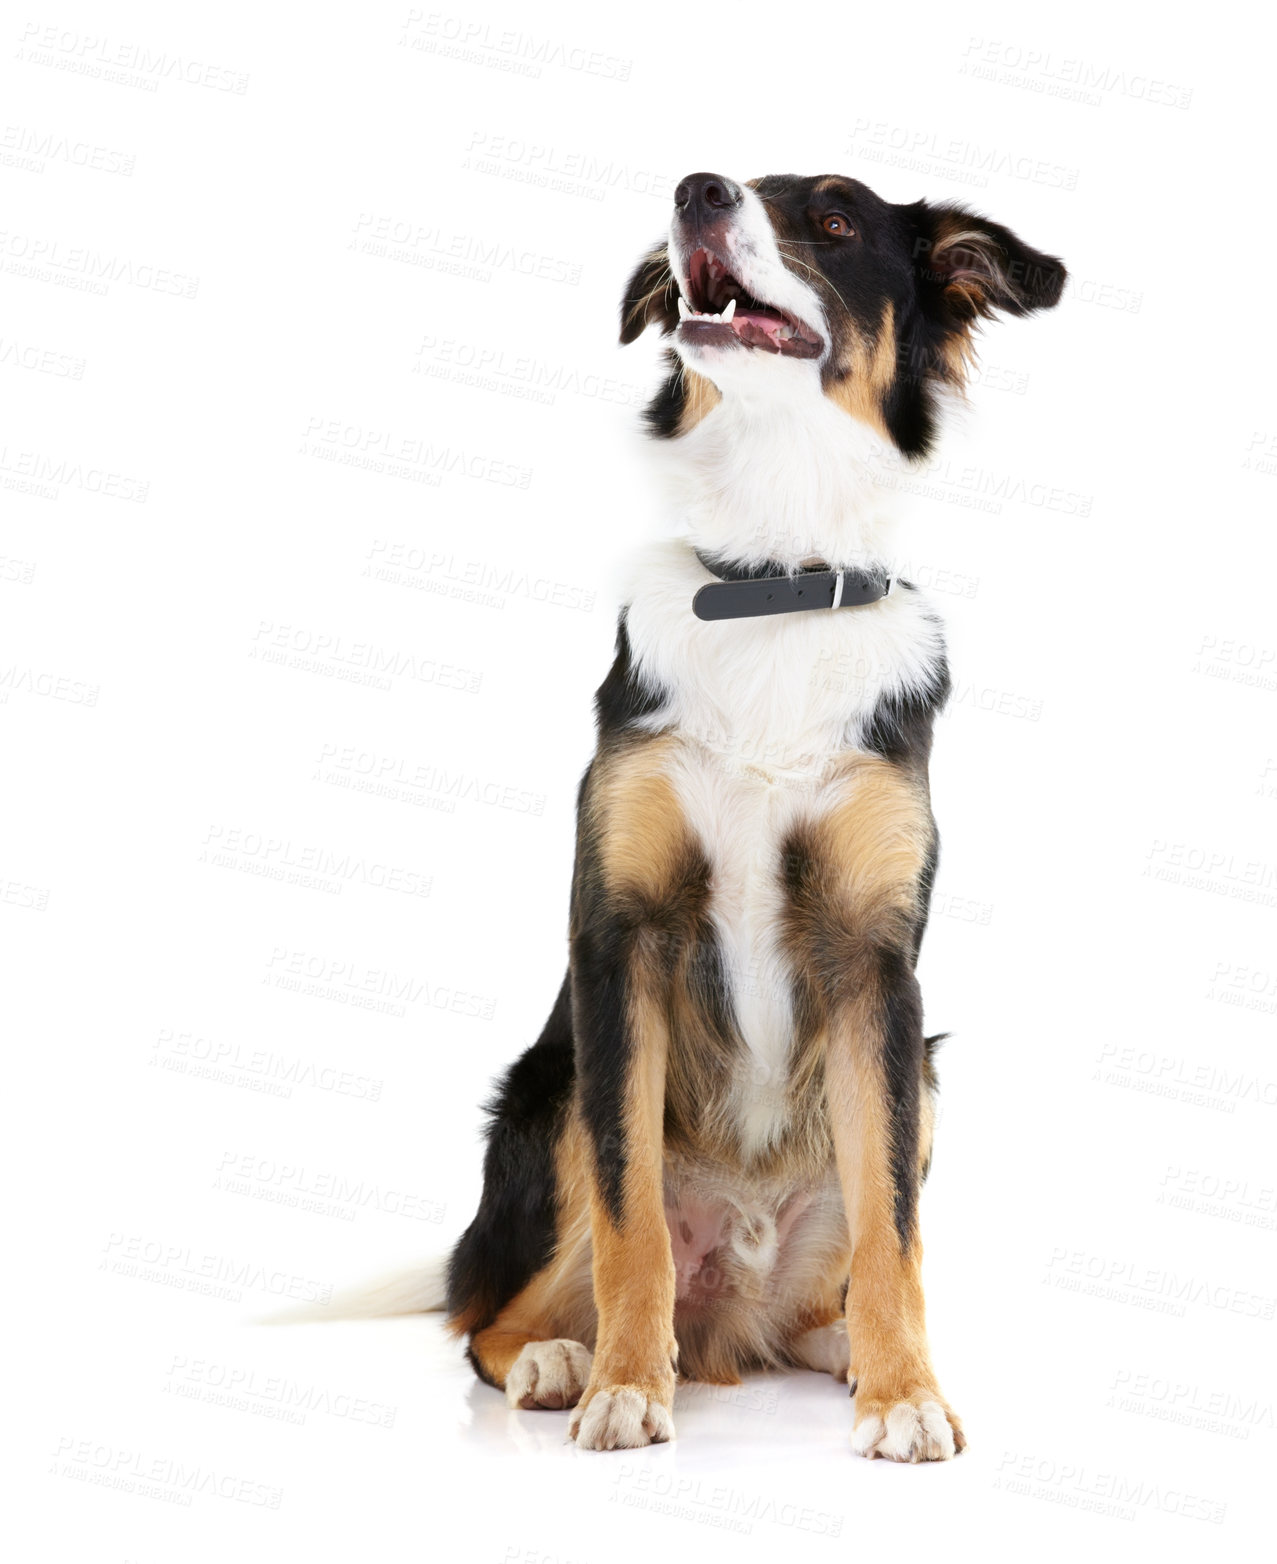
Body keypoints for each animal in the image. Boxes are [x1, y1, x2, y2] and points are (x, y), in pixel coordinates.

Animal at [444, 174, 1064, 1463]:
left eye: (830, 220)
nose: (694, 189)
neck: (772, 576)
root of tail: (733, 1318)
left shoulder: (878, 969)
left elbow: (892, 1227)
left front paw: (904, 1392)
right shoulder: (618, 943)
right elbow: (627, 1210)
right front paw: (626, 1385)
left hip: (923, 1076)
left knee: (847, 1268)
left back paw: (841, 1347)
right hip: (549, 1088)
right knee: (481, 1309)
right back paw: (556, 1357)